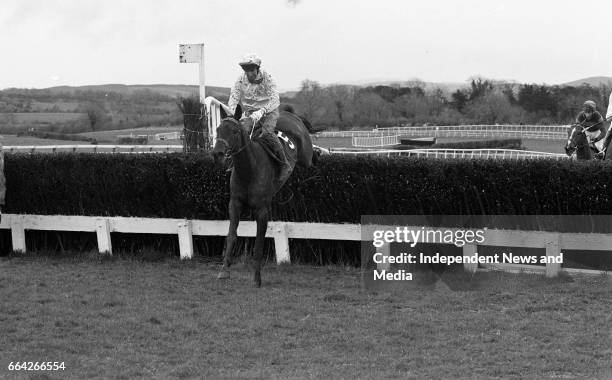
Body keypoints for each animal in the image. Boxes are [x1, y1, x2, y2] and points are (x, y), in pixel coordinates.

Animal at [210, 105, 316, 286]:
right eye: (218, 129)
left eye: (234, 131)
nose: (218, 154)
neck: (249, 169)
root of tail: (289, 113)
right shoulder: (235, 203)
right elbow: (231, 235)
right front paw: (224, 270)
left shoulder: (261, 209)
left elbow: (258, 244)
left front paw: (257, 278)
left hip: (305, 156)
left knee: (311, 158)